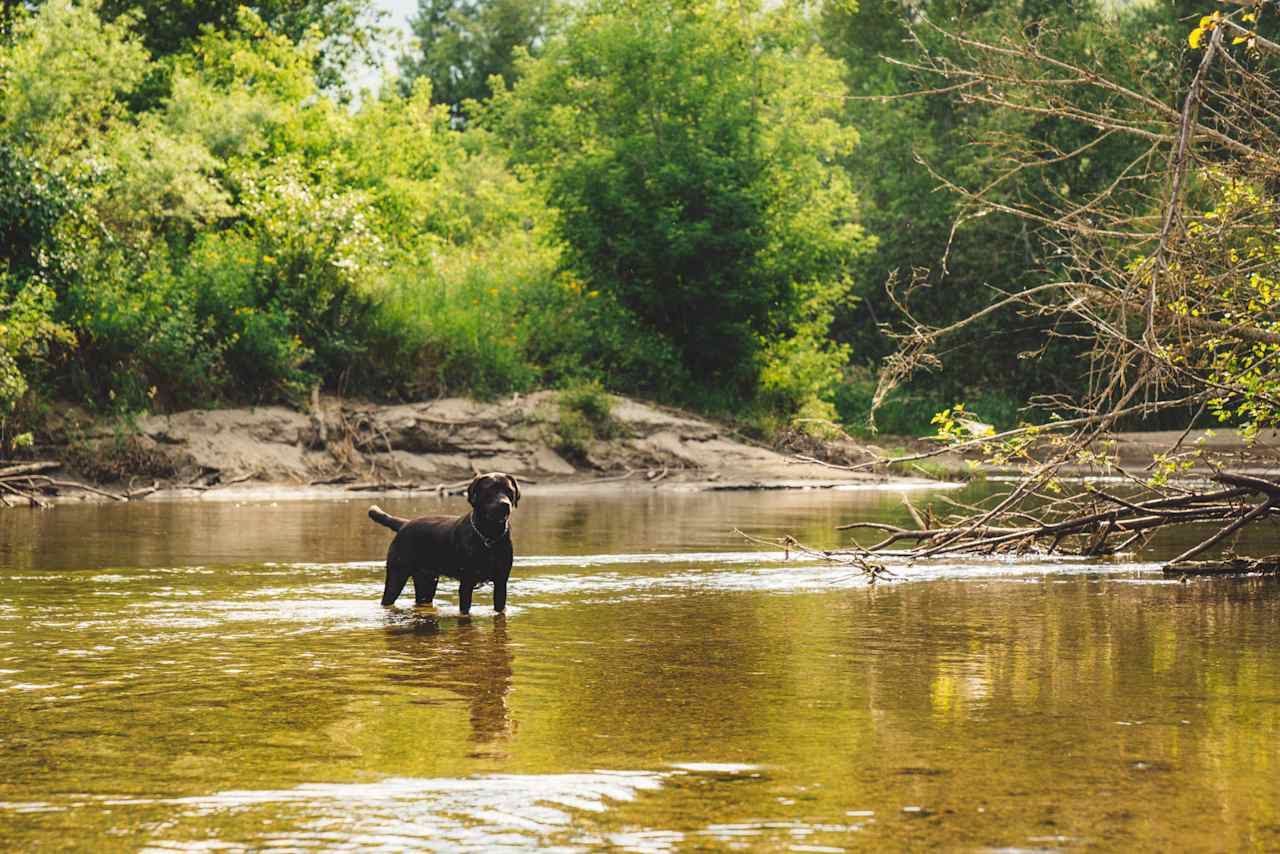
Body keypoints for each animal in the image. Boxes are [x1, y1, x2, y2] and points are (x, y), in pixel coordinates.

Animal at [368, 473, 517, 614]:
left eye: (509, 491)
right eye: (489, 490)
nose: (505, 504)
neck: (489, 536)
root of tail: (404, 523)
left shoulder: (501, 583)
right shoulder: (466, 583)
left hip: (426, 582)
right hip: (396, 576)